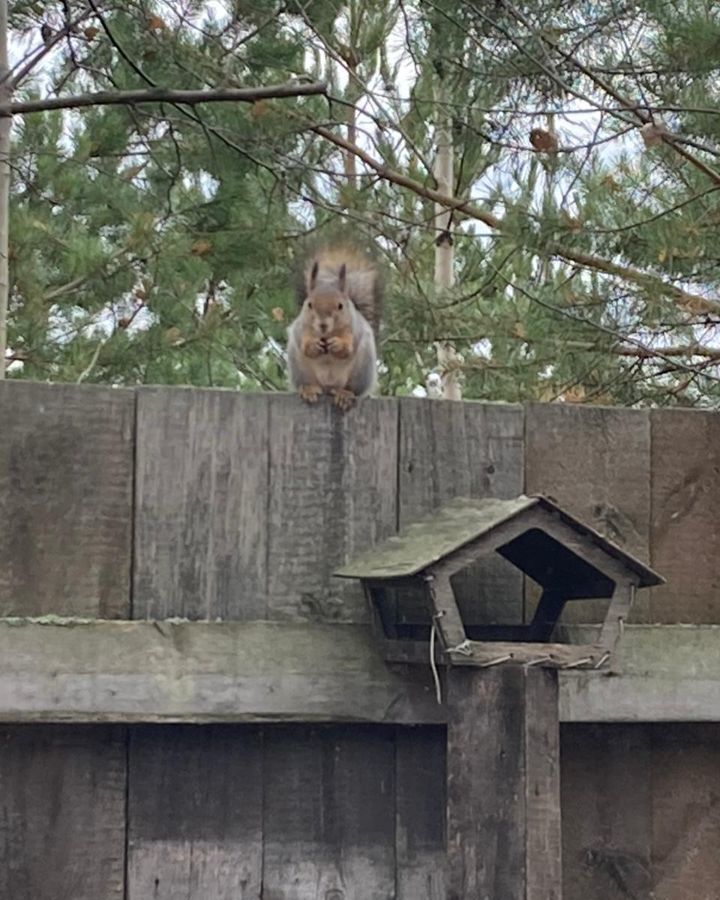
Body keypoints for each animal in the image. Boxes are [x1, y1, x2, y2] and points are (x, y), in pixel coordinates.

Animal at [286, 243, 382, 412]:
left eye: (340, 306)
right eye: (309, 304)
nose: (323, 324)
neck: (326, 334)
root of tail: (329, 387)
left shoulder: (353, 328)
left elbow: (348, 346)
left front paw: (338, 345)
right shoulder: (302, 327)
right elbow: (304, 342)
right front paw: (313, 345)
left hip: (362, 370)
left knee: (353, 388)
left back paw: (345, 394)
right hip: (299, 368)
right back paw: (309, 390)